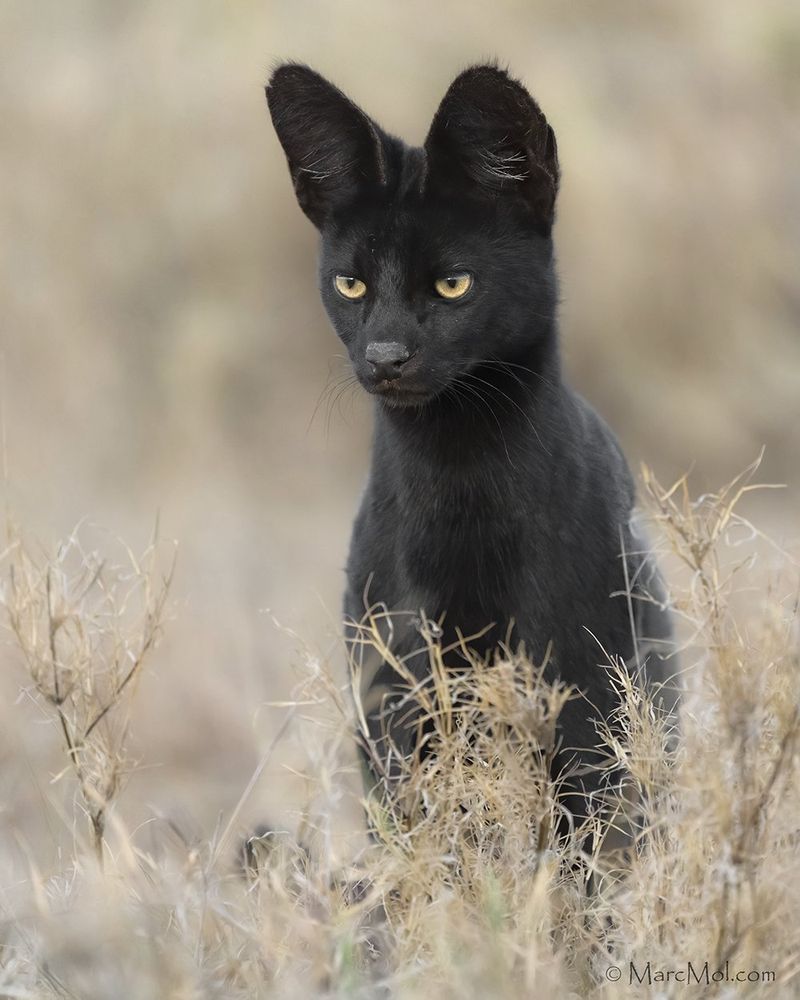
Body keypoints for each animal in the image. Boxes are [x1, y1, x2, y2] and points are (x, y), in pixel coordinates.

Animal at [266, 64, 680, 828]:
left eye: (453, 283)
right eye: (351, 283)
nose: (386, 356)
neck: (457, 476)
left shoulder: (587, 696)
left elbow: (590, 841)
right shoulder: (393, 702)